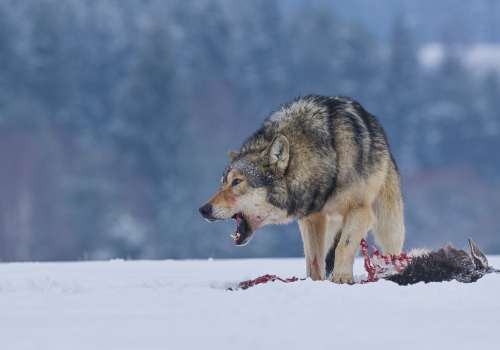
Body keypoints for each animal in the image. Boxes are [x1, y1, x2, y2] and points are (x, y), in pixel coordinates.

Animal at [197, 94, 404, 284]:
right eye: (223, 182)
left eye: (237, 181)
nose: (203, 210)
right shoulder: (312, 218)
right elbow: (313, 259)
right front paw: (315, 282)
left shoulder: (359, 210)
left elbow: (344, 246)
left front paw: (341, 278)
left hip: (388, 223)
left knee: (391, 248)